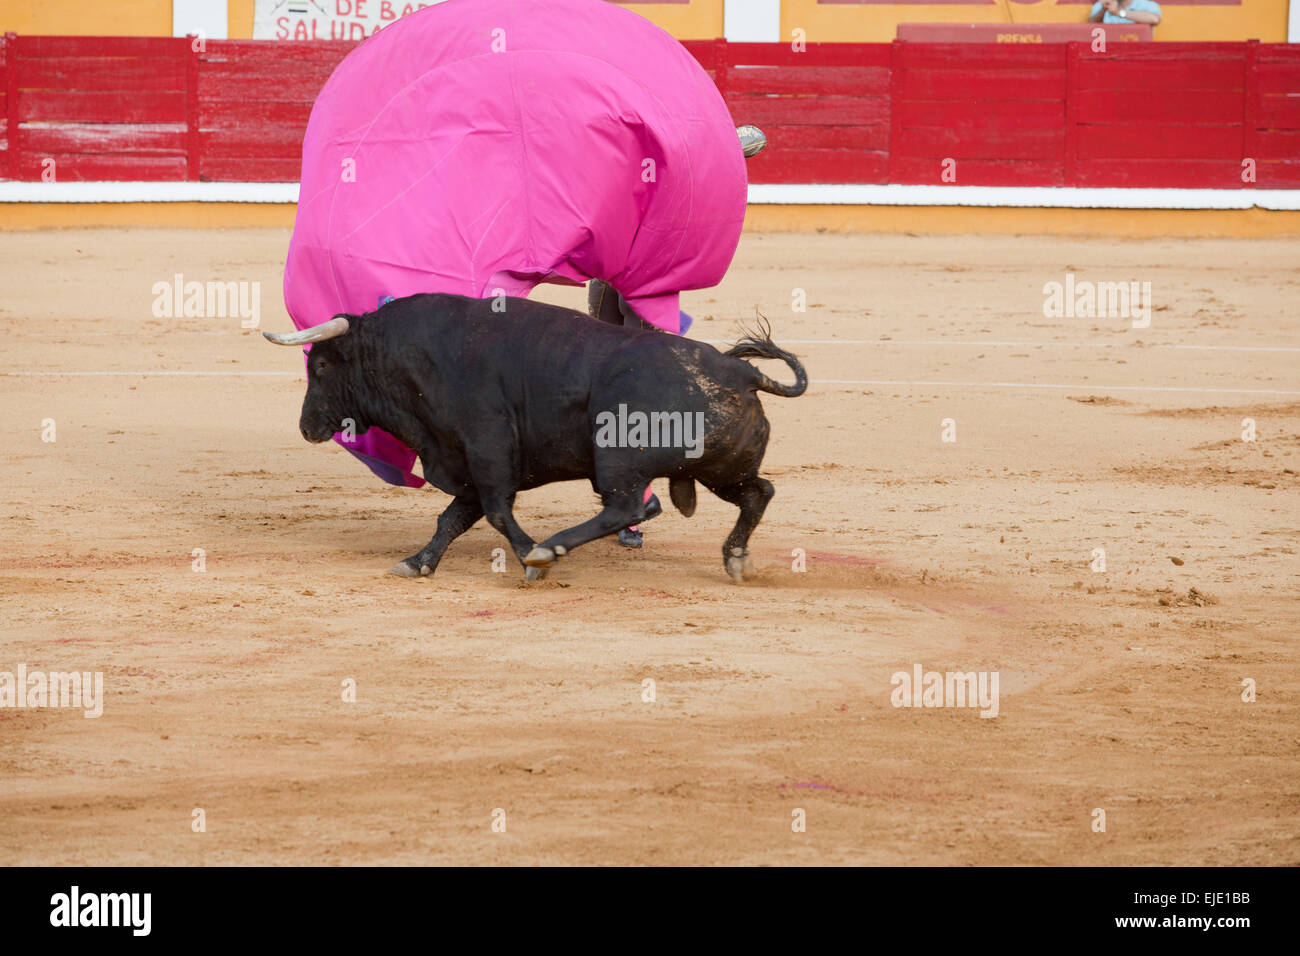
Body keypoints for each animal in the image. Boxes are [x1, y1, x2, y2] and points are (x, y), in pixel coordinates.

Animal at [269, 295, 806, 582]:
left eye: (321, 366)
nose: (306, 426)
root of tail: (740, 372)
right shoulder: (465, 462)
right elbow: (452, 518)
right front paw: (417, 563)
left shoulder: (487, 450)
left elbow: (496, 514)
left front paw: (531, 558)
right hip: (719, 467)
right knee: (759, 492)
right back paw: (735, 558)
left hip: (620, 461)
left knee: (626, 508)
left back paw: (551, 549)